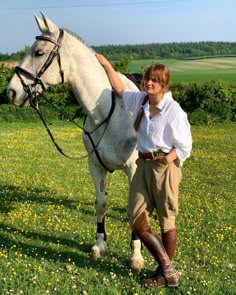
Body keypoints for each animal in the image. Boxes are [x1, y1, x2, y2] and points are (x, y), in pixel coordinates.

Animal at [6, 12, 144, 270]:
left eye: (39, 52)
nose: (11, 92)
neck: (107, 111)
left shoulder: (134, 168)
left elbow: (136, 210)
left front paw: (136, 256)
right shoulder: (95, 166)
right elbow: (101, 204)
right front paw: (99, 245)